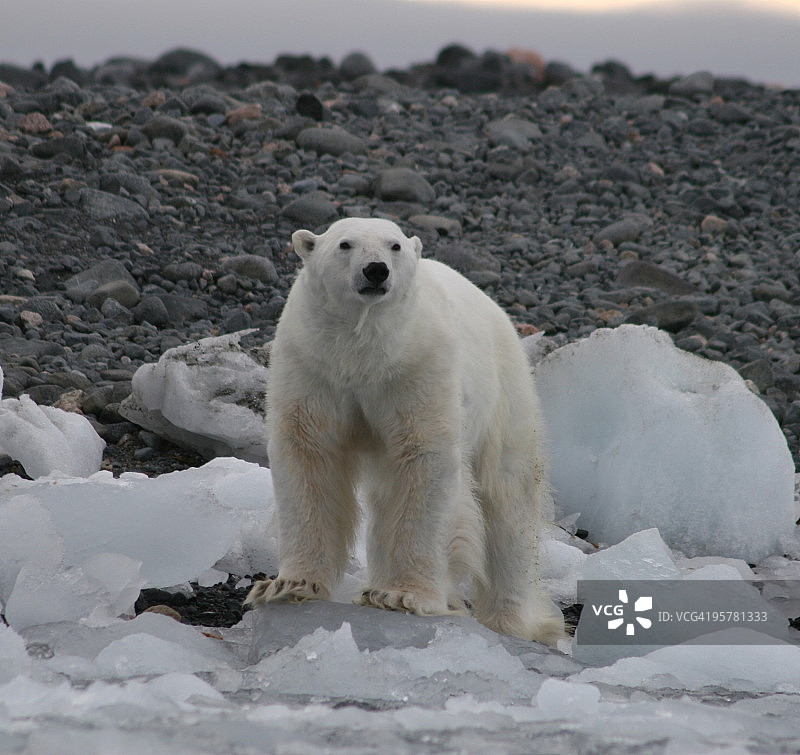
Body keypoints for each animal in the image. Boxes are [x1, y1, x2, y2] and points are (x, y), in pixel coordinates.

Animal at [245, 217, 563, 645]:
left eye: (393, 245)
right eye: (345, 244)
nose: (376, 270)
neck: (363, 353)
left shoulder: (417, 365)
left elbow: (423, 459)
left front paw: (402, 596)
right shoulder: (313, 364)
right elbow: (309, 455)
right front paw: (287, 586)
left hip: (504, 391)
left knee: (508, 498)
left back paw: (509, 620)